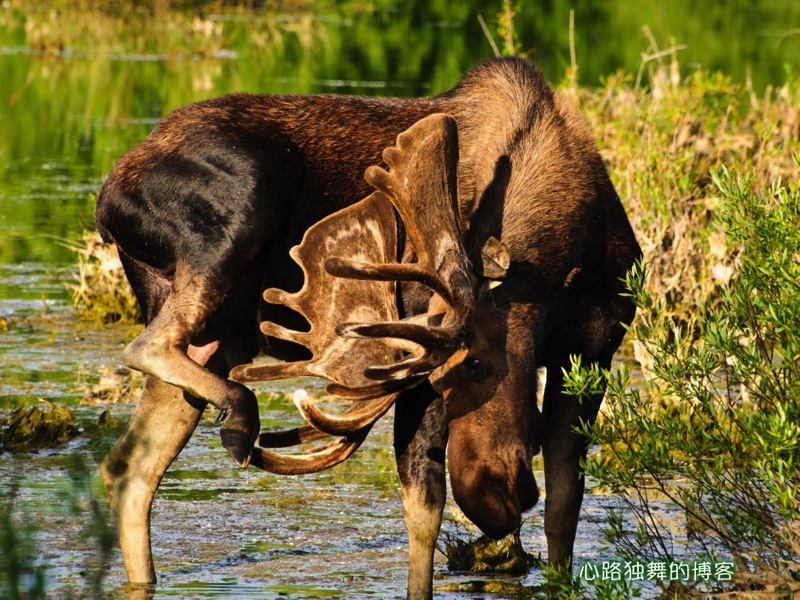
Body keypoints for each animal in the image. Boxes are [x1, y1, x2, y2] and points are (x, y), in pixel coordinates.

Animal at [97, 55, 640, 596]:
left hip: (213, 331)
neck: (564, 263)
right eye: (457, 371)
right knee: (148, 349)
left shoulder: (595, 350)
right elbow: (424, 512)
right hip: (243, 202)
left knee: (130, 469)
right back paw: (240, 414)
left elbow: (563, 509)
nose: (492, 498)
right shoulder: (417, 363)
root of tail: (106, 201)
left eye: (481, 364)